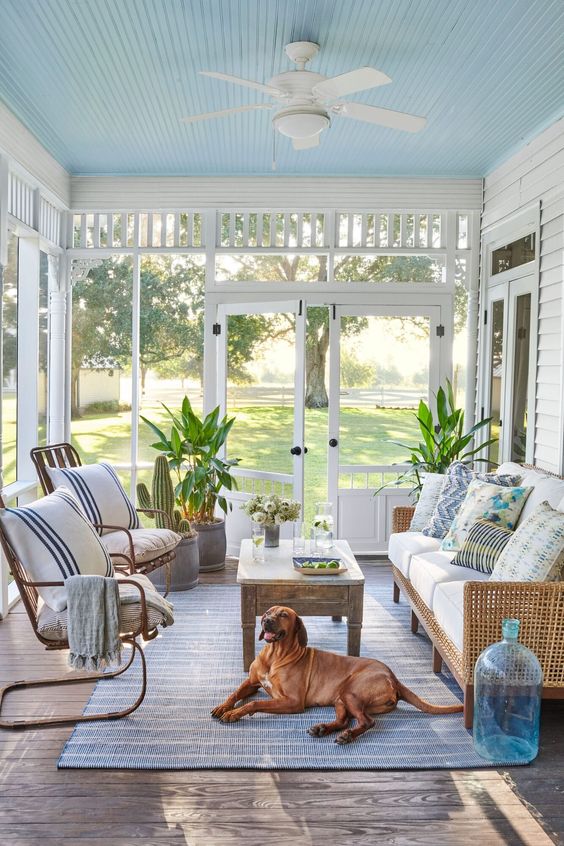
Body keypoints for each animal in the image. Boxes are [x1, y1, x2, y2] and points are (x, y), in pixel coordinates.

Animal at [212, 608, 462, 744]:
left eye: (282, 614)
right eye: (266, 612)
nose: (265, 621)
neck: (275, 656)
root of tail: (394, 676)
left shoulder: (292, 702)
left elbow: (253, 703)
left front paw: (233, 714)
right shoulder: (252, 682)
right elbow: (236, 693)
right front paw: (223, 707)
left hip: (351, 691)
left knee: (367, 721)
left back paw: (347, 736)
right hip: (341, 698)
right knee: (344, 720)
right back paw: (323, 728)